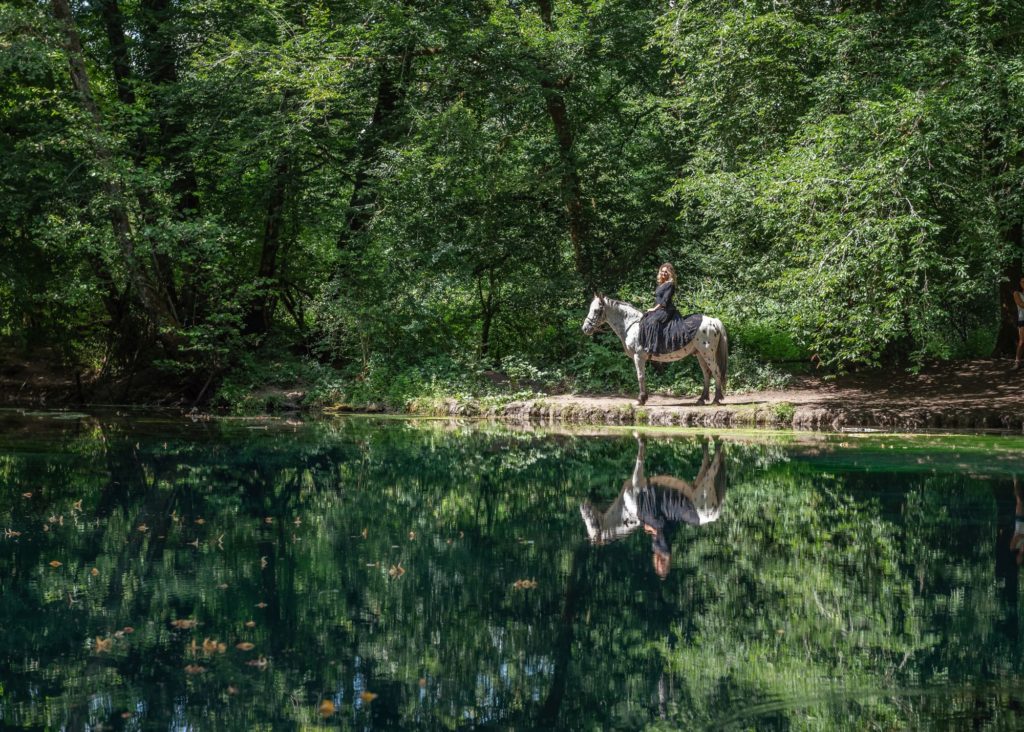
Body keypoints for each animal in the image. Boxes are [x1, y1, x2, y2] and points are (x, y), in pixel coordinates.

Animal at [585, 292, 729, 407]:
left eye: (596, 310)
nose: (585, 328)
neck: (632, 325)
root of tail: (713, 321)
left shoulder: (638, 357)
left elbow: (640, 376)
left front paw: (640, 400)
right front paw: (643, 398)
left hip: (708, 354)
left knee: (716, 372)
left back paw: (716, 400)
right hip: (700, 354)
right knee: (706, 374)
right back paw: (701, 399)